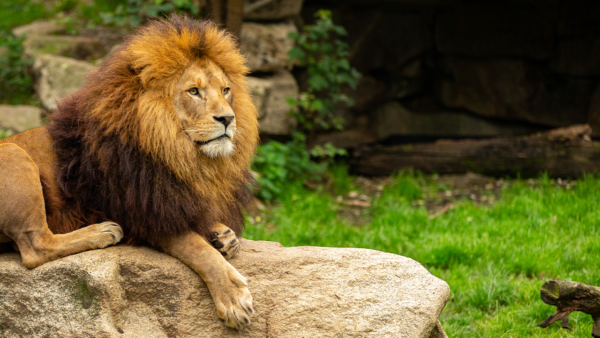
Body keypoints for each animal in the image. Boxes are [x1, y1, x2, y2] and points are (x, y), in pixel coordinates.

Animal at [0, 15, 258, 330]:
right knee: (35, 247)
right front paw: (233, 297)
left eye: (226, 90)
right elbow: (198, 249)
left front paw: (223, 235)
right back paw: (102, 232)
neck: (181, 154)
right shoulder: (144, 215)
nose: (228, 119)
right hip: (14, 154)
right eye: (194, 92)